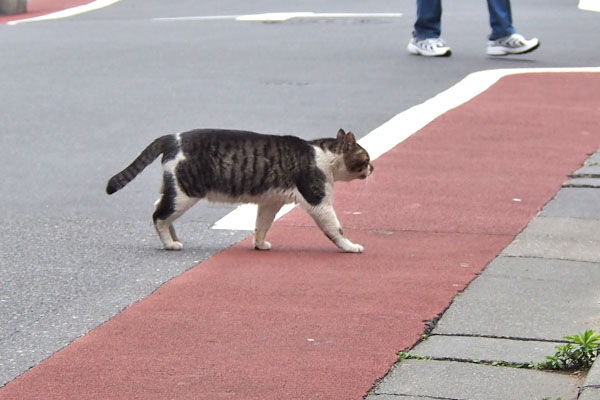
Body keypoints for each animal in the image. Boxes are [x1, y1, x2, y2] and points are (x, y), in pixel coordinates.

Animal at [105, 128, 372, 253]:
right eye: (366, 159)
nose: (374, 167)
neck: (324, 155)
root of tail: (173, 137)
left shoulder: (271, 202)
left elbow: (261, 225)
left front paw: (260, 244)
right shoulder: (318, 200)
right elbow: (336, 228)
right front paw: (350, 246)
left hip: (176, 189)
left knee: (160, 207)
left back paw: (174, 237)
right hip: (185, 193)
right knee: (158, 215)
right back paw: (170, 244)